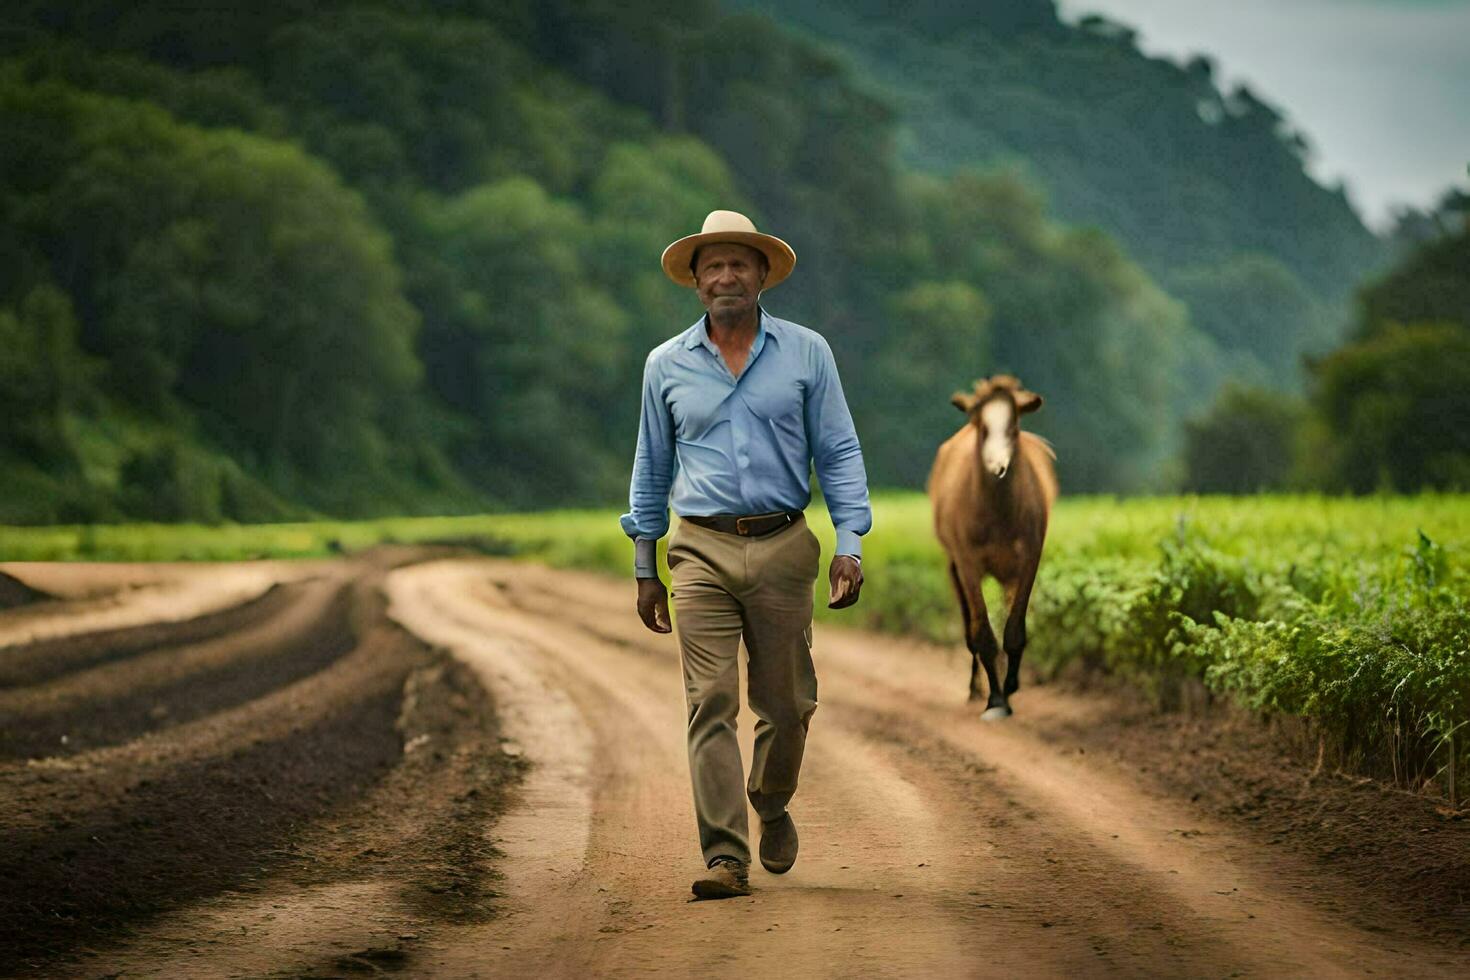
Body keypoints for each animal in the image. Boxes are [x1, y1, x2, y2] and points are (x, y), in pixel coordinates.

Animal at [929, 376, 1058, 719]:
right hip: (955, 566)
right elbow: (982, 632)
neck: (998, 510)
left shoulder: (1029, 559)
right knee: (970, 628)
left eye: (1013, 427)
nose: (996, 466)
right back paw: (976, 688)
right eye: (982, 427)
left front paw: (1010, 688)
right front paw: (995, 698)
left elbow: (1014, 628)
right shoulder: (967, 563)